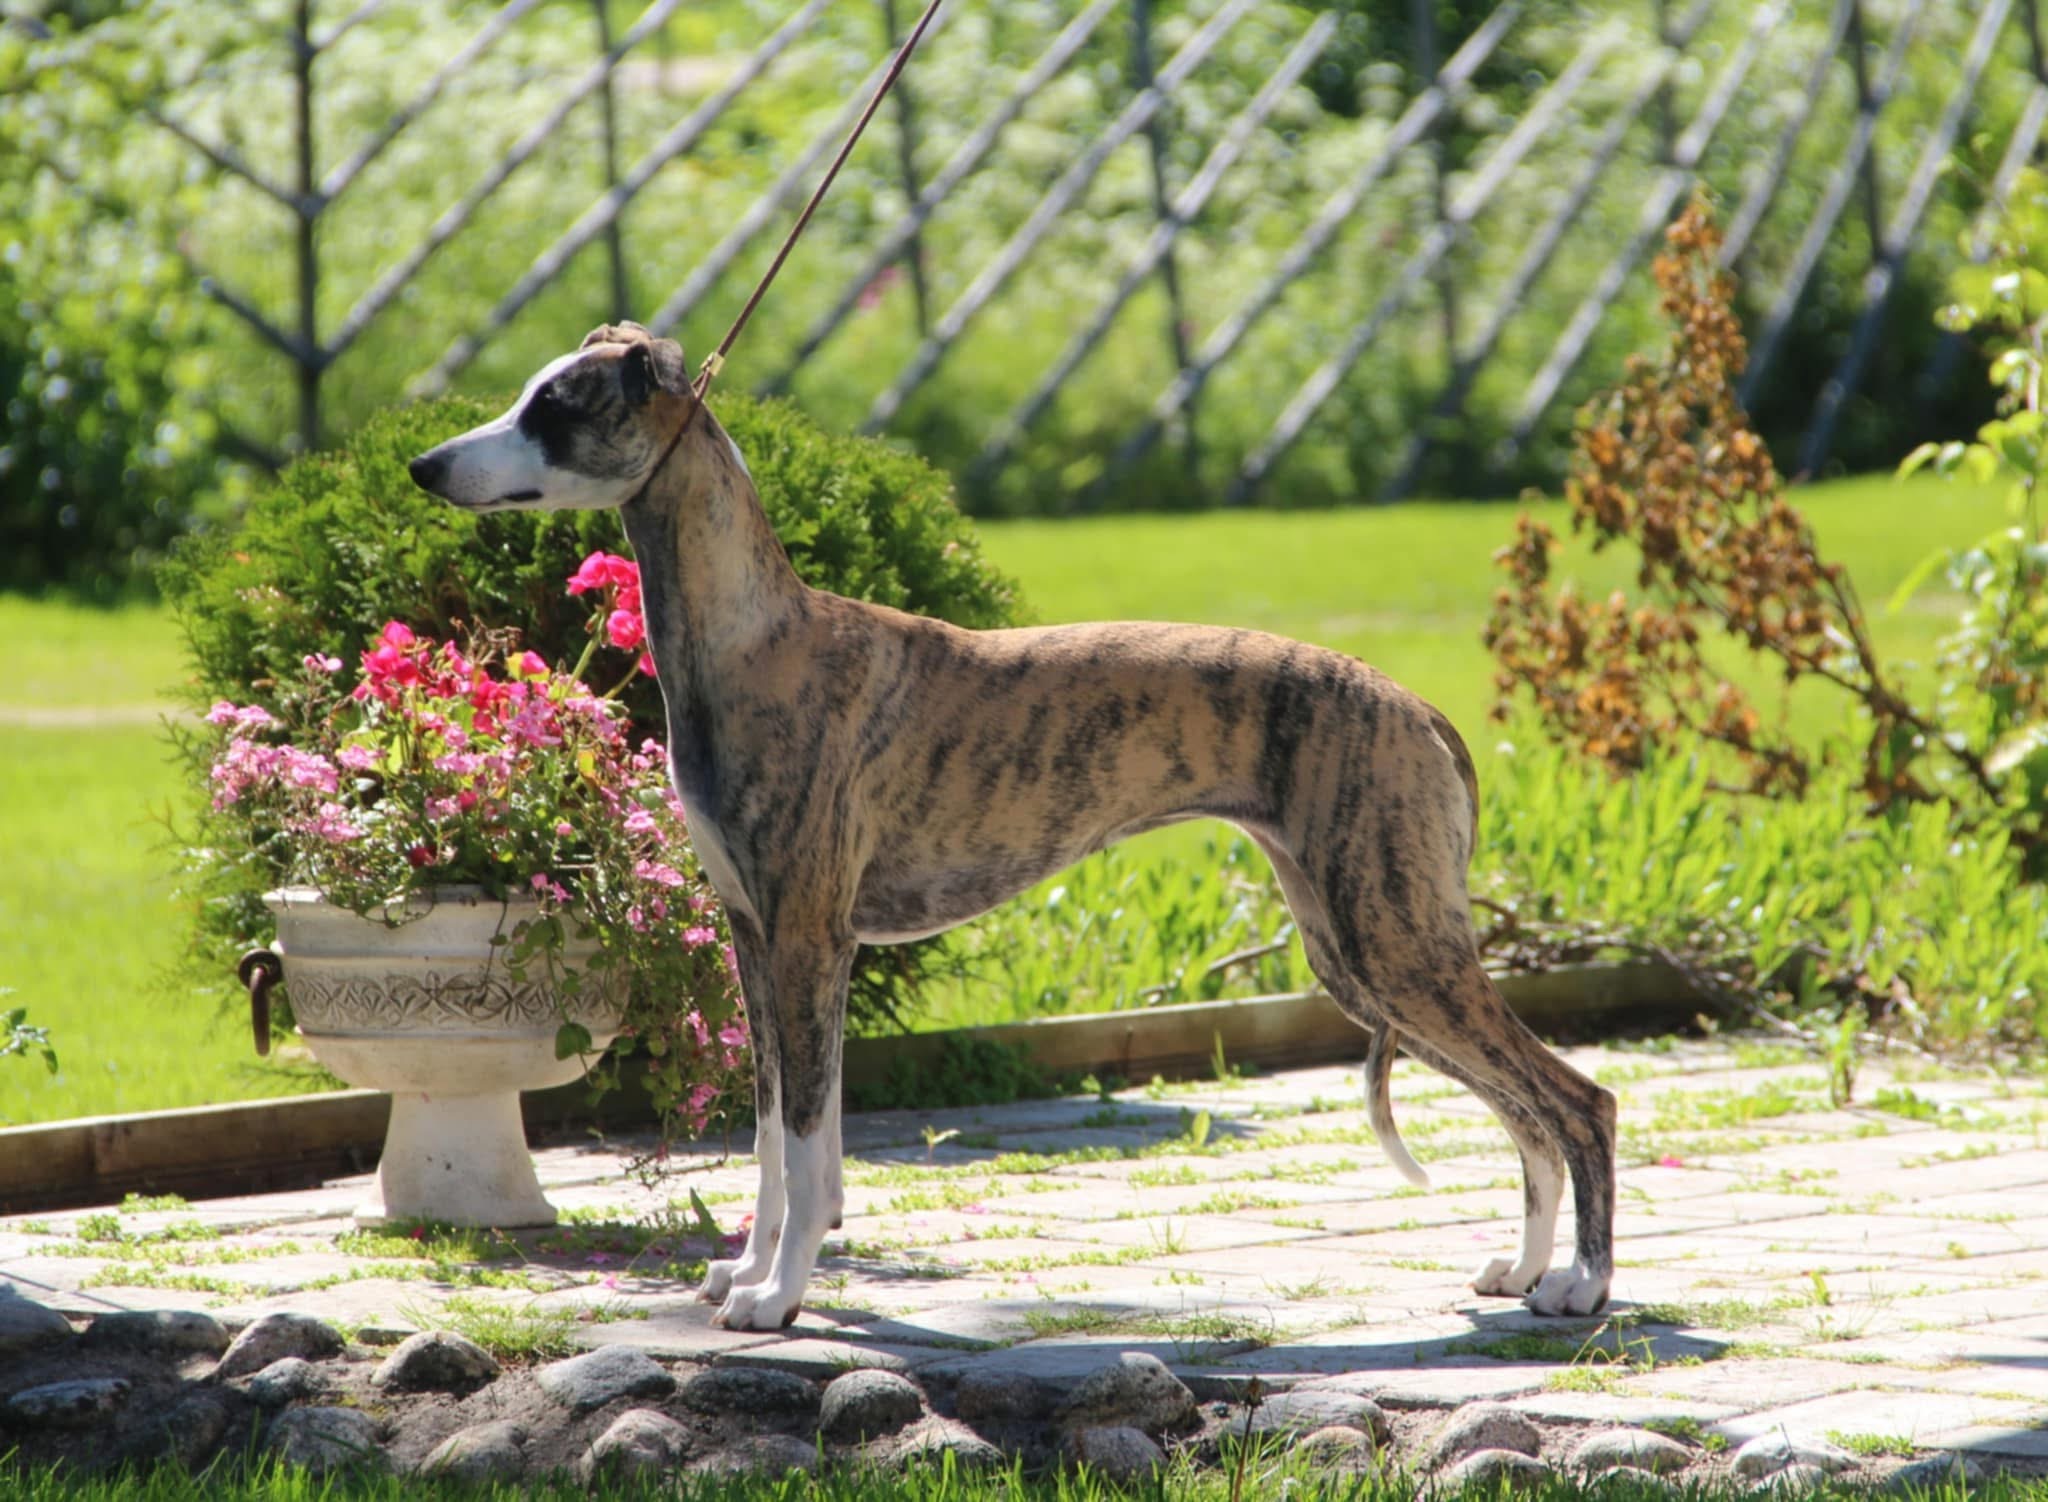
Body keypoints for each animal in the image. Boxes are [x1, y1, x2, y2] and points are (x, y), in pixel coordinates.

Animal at [408, 322, 1617, 1332]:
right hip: (1361, 953)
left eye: (555, 405)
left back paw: (1582, 1285)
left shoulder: (809, 939)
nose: (423, 468)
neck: (759, 638)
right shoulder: (757, 938)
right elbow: (774, 1139)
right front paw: (745, 1273)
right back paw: (1523, 1270)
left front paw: (779, 1298)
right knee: (1525, 1113)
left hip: (1394, 943)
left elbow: (806, 1148)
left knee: (1578, 1099)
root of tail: (1416, 706)